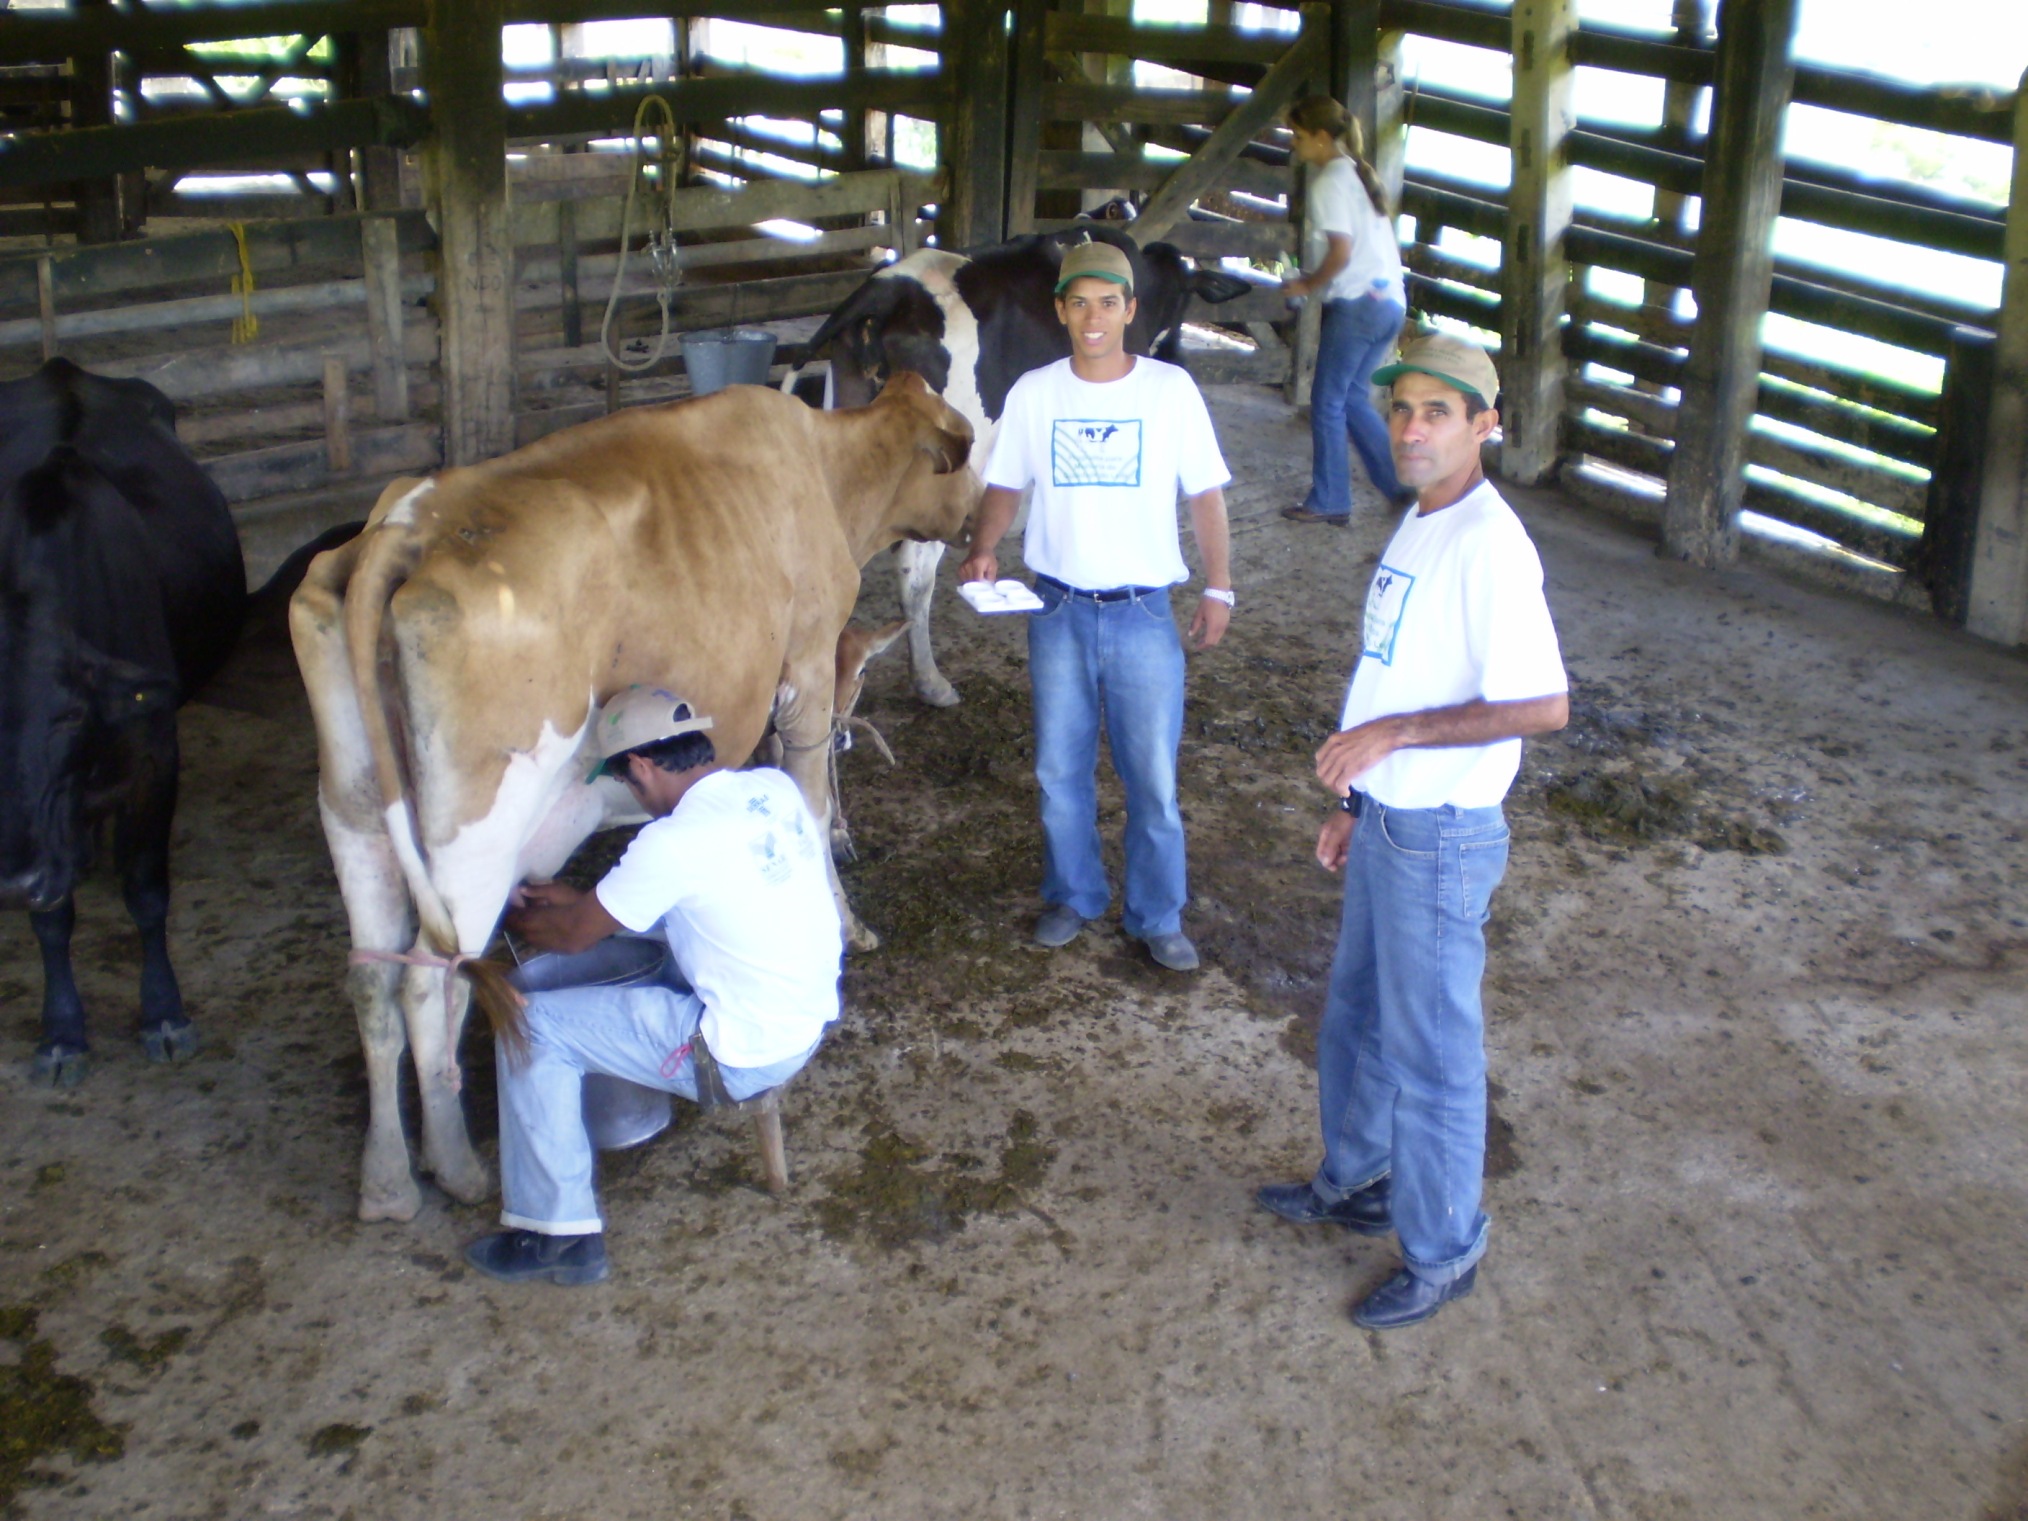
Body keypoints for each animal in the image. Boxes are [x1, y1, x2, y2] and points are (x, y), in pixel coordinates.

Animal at [0, 363, 246, 1087]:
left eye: (69, 714)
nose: (13, 882)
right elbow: (52, 918)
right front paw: (61, 1033)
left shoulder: (155, 755)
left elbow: (145, 890)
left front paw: (163, 1014)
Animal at [292, 381, 973, 1224]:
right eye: (964, 445)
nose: (978, 511)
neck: (825, 464)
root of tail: (407, 521)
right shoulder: (809, 660)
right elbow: (807, 803)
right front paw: (849, 923)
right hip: (474, 837)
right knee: (429, 980)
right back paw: (453, 1162)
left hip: (352, 810)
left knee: (372, 980)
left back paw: (387, 1177)